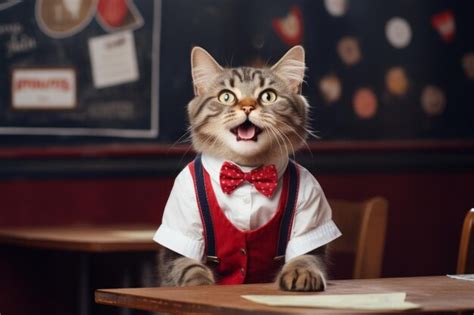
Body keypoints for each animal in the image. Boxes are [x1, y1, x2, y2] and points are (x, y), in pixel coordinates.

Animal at [156, 45, 340, 292]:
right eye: (226, 96)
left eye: (268, 96)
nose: (247, 107)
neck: (247, 172)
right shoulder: (179, 230)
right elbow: (189, 268)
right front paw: (200, 285)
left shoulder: (311, 209)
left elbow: (305, 258)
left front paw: (302, 274)